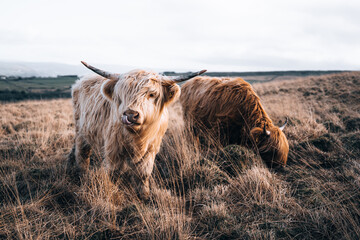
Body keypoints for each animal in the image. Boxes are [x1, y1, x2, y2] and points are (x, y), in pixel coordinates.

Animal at [66, 61, 204, 198]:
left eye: (152, 94)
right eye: (122, 94)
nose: (131, 115)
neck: (138, 136)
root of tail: (81, 80)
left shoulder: (151, 148)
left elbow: (143, 173)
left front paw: (144, 195)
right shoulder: (113, 148)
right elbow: (114, 173)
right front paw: (113, 192)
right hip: (81, 131)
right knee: (82, 153)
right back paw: (82, 175)